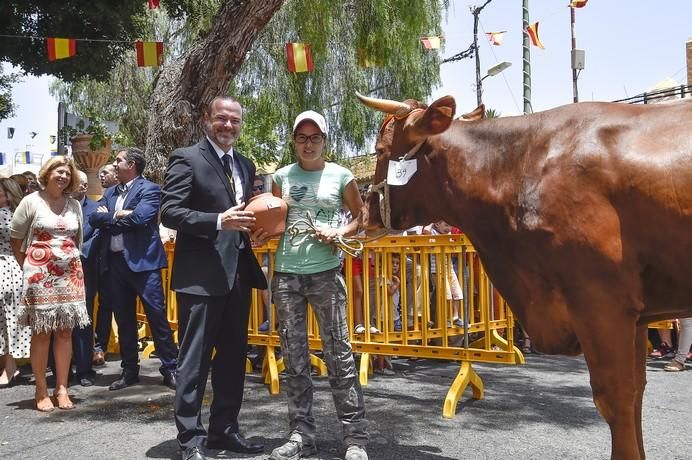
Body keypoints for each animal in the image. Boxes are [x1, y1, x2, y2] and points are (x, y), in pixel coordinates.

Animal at [356, 93, 692, 460]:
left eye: (381, 150)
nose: (363, 215)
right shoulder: (635, 314)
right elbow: (636, 397)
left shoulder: (602, 302)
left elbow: (617, 399)